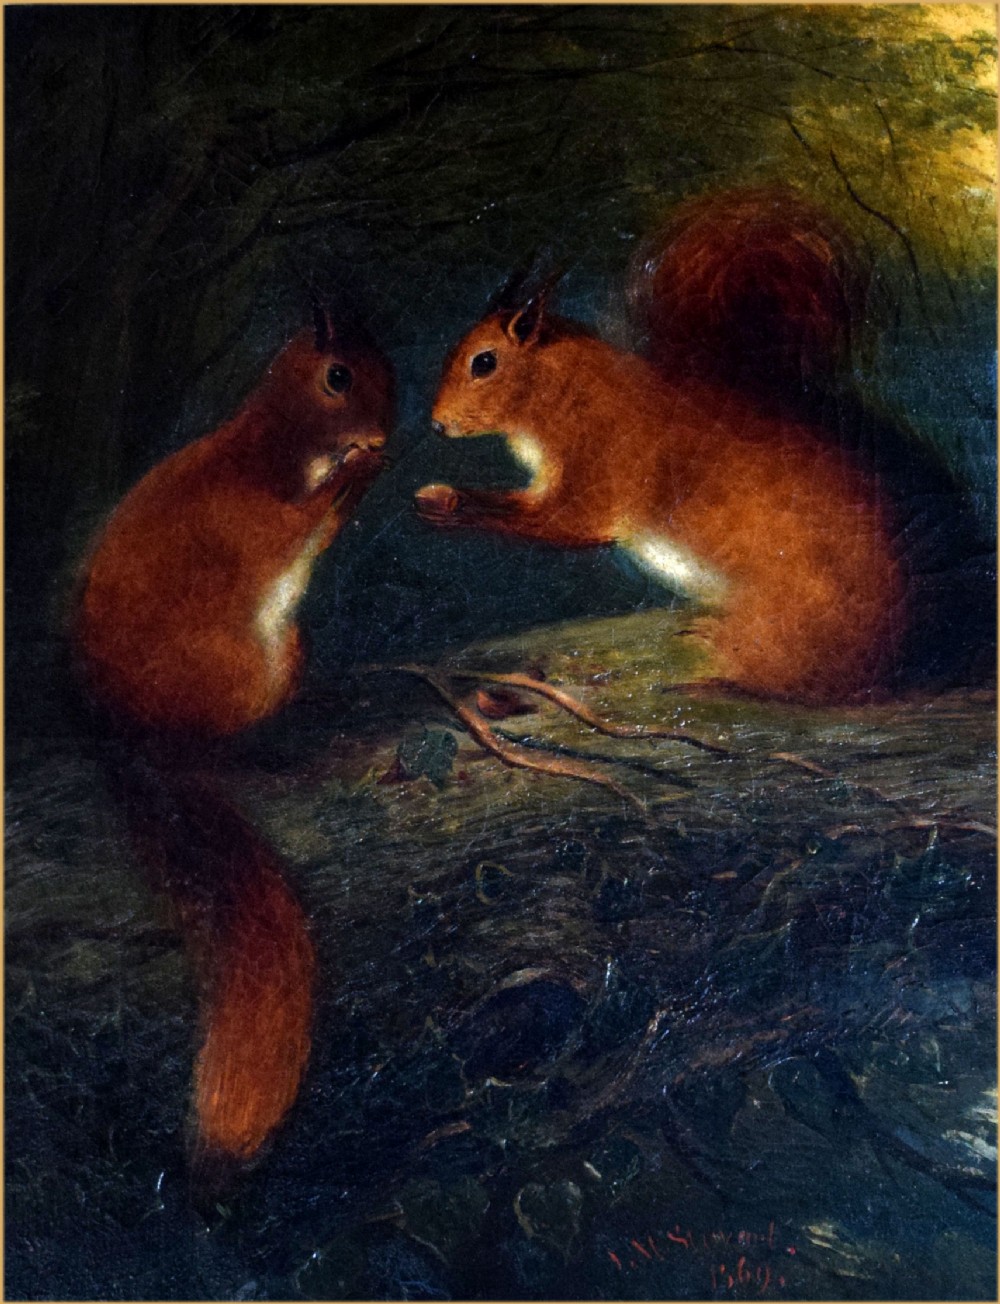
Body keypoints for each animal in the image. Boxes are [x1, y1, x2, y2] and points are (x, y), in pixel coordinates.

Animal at [73, 306, 393, 1188]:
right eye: (338, 377)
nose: (388, 425)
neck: (267, 445)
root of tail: (137, 740)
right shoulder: (257, 515)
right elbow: (305, 523)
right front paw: (357, 473)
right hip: (255, 666)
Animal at [415, 187, 989, 705]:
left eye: (484, 362)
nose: (437, 426)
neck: (566, 391)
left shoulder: (596, 474)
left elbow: (550, 520)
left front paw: (449, 502)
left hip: (781, 628)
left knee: (802, 687)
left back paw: (717, 676)